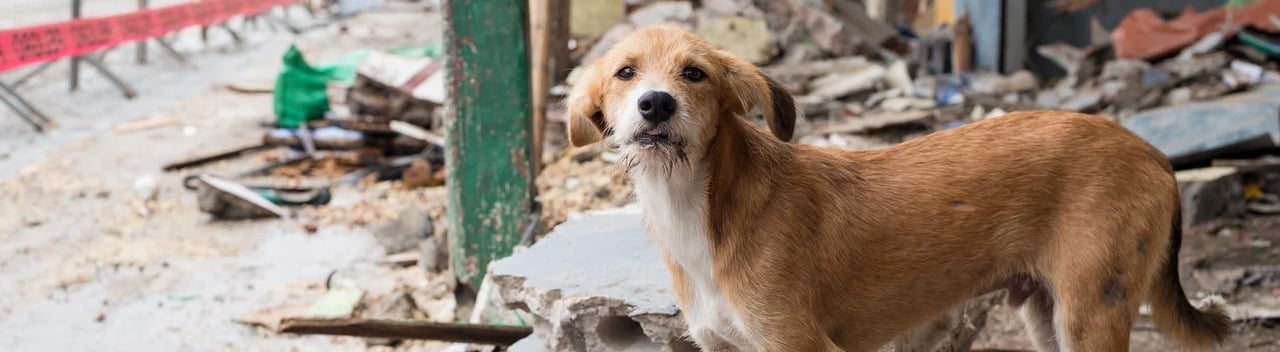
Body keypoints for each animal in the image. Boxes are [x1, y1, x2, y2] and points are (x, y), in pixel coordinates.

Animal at [565, 26, 1233, 350]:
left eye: (695, 74)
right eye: (625, 73)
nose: (655, 104)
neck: (702, 209)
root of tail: (1153, 153)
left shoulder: (801, 345)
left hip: (1091, 312)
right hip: (1048, 314)